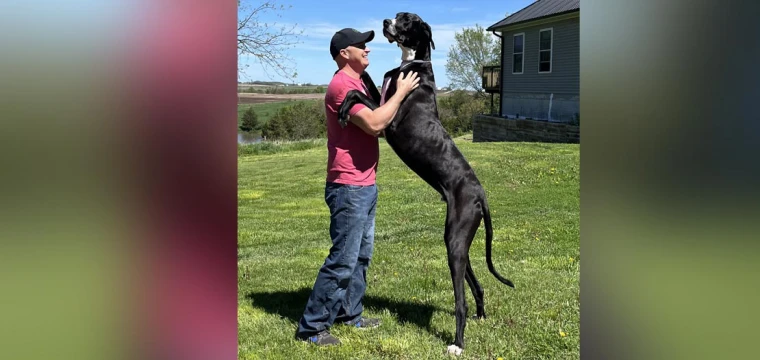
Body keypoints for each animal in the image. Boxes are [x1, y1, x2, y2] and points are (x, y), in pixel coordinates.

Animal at [338, 11, 516, 358]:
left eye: (406, 20)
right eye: (398, 15)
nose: (385, 20)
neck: (413, 63)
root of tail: (482, 195)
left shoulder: (389, 121)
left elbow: (357, 94)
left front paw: (342, 108)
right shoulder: (382, 100)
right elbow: (367, 85)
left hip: (456, 241)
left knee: (460, 300)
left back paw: (458, 343)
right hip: (458, 240)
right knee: (476, 284)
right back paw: (480, 316)